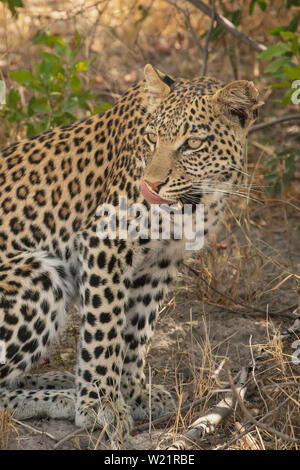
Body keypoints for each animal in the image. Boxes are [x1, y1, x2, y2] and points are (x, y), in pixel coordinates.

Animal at [0, 65, 262, 440]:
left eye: (192, 144)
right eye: (152, 138)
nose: (150, 185)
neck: (197, 202)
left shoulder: (161, 261)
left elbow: (137, 331)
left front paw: (134, 393)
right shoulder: (105, 243)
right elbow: (104, 329)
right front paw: (101, 403)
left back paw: (60, 379)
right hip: (38, 276)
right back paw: (64, 397)